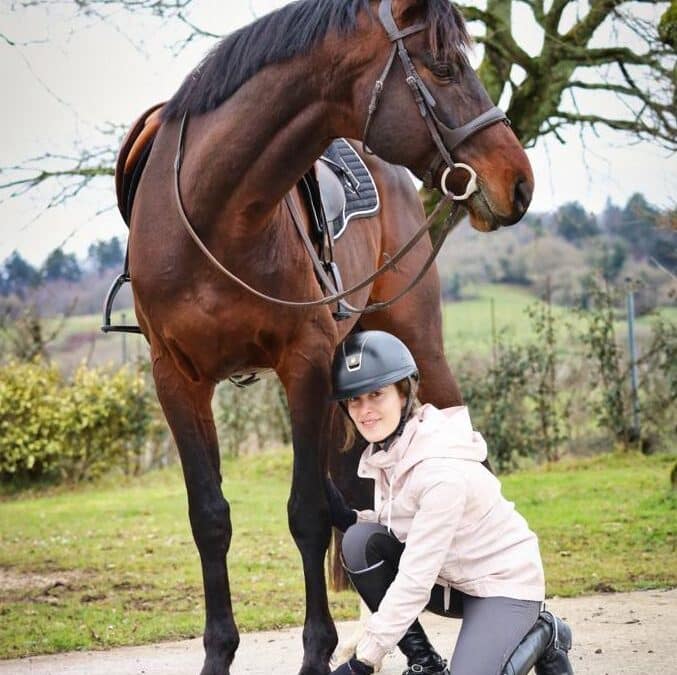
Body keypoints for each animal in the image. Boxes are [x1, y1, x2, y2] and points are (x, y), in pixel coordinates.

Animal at [120, 1, 532, 675]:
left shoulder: (305, 366)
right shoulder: (176, 379)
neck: (218, 216)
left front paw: (317, 653)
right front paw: (219, 652)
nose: (518, 181)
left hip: (421, 347)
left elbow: (308, 514)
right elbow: (210, 518)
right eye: (442, 66)